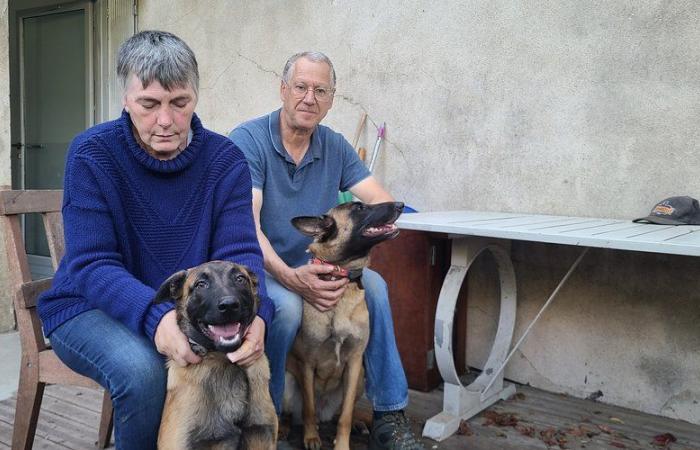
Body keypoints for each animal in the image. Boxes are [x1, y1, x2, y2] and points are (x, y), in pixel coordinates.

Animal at [284, 201, 404, 450]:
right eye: (359, 208)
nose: (401, 204)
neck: (341, 274)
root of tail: (325, 414)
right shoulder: (306, 364)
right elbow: (309, 408)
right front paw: (311, 437)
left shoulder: (354, 363)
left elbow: (346, 416)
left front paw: (342, 444)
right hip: (287, 383)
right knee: (294, 414)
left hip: (358, 381)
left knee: (343, 412)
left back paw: (360, 423)